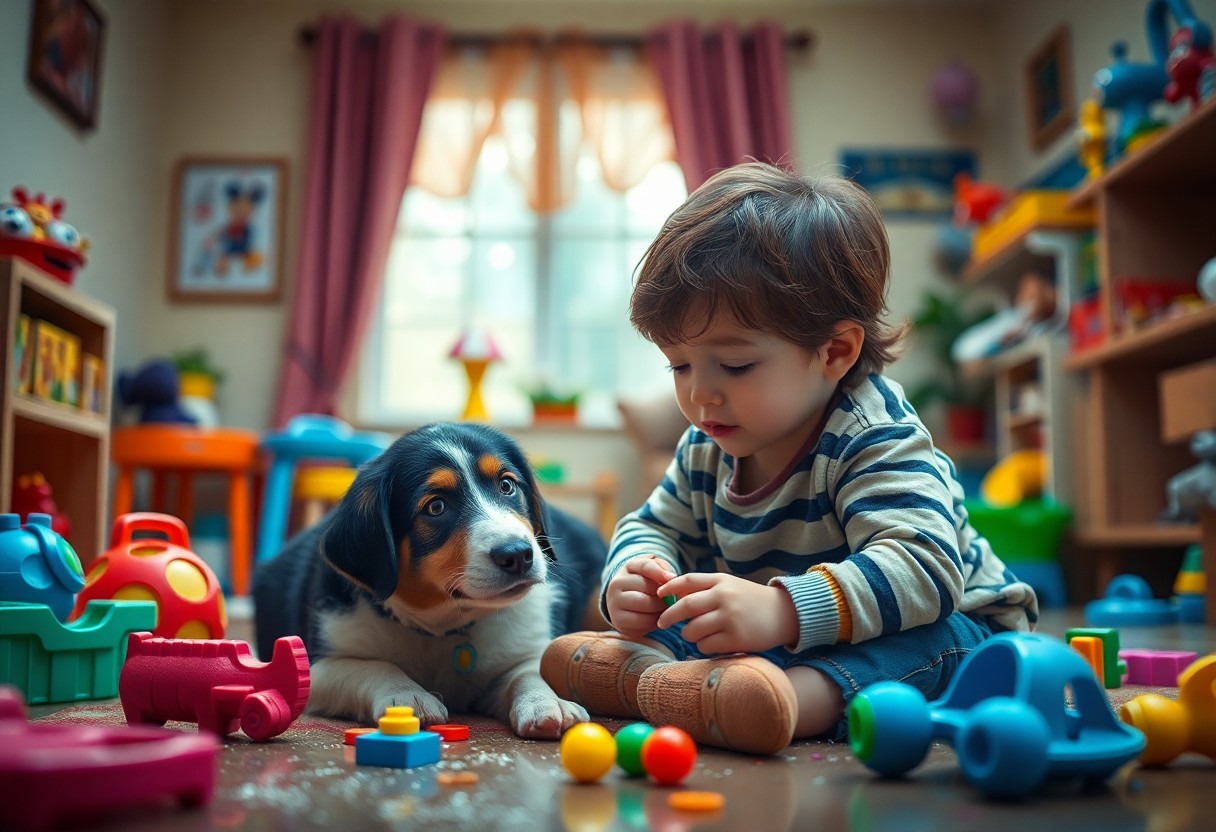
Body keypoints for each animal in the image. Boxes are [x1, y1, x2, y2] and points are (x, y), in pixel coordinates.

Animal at [252, 423, 608, 739]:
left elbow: (529, 672)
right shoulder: (319, 664)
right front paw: (406, 696)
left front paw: (547, 701)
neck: (444, 625)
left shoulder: (524, 647)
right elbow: (372, 665)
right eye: (436, 507)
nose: (518, 554)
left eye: (507, 486)